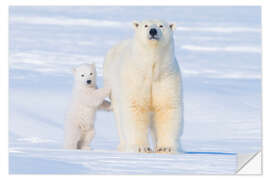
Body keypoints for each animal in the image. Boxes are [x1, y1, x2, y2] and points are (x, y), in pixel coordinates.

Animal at [103, 20, 184, 153]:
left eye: (161, 25)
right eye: (146, 25)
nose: (153, 31)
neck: (151, 70)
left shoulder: (166, 77)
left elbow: (167, 107)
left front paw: (165, 148)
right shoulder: (136, 78)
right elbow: (135, 107)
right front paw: (141, 147)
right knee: (120, 119)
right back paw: (123, 146)